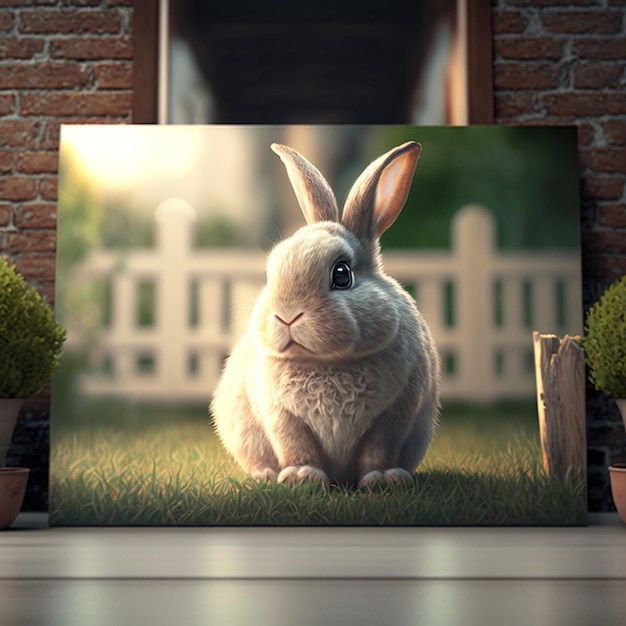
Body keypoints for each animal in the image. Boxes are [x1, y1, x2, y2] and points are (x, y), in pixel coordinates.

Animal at [212, 140, 442, 488]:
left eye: (342, 274)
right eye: (269, 274)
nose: (287, 315)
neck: (327, 362)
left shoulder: (396, 411)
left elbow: (379, 448)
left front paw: (380, 479)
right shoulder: (281, 415)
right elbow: (296, 445)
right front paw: (301, 476)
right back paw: (264, 475)